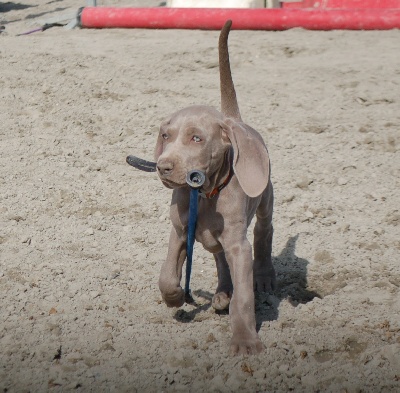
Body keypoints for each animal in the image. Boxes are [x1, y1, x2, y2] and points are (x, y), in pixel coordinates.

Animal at [154, 19, 276, 354]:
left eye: (196, 138)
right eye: (166, 136)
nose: (163, 166)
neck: (206, 194)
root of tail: (233, 119)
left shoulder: (238, 245)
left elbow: (244, 298)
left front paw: (245, 339)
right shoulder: (180, 231)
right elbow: (167, 274)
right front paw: (174, 297)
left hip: (265, 196)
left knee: (264, 231)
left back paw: (262, 276)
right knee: (218, 257)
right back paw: (221, 293)